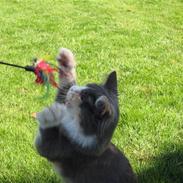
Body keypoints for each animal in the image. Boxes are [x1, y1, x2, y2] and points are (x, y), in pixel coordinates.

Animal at [35, 48, 137, 183]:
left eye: (83, 97)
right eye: (86, 85)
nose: (73, 89)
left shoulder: (64, 150)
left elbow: (45, 142)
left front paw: (52, 114)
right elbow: (64, 90)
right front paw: (66, 60)